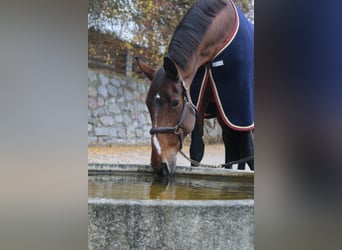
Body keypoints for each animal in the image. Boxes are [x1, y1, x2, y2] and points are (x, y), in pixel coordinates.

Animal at [137, 0, 254, 176]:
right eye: (148, 104)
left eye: (175, 102)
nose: (159, 166)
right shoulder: (199, 103)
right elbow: (197, 150)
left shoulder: (242, 111)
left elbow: (249, 152)